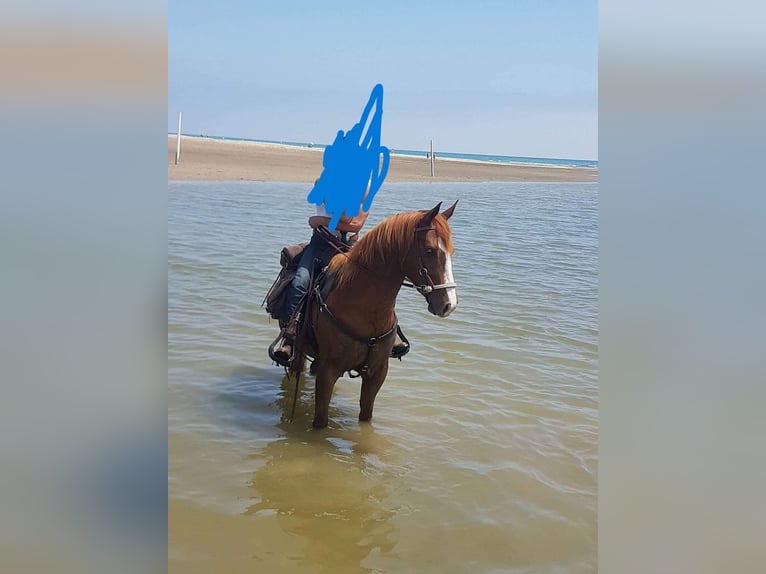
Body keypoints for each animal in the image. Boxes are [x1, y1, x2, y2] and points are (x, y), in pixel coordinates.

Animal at [290, 200, 459, 428]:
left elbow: (366, 415)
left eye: (451, 251)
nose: (450, 304)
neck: (365, 309)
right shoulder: (329, 370)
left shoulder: (377, 372)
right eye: (430, 250)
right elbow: (320, 422)